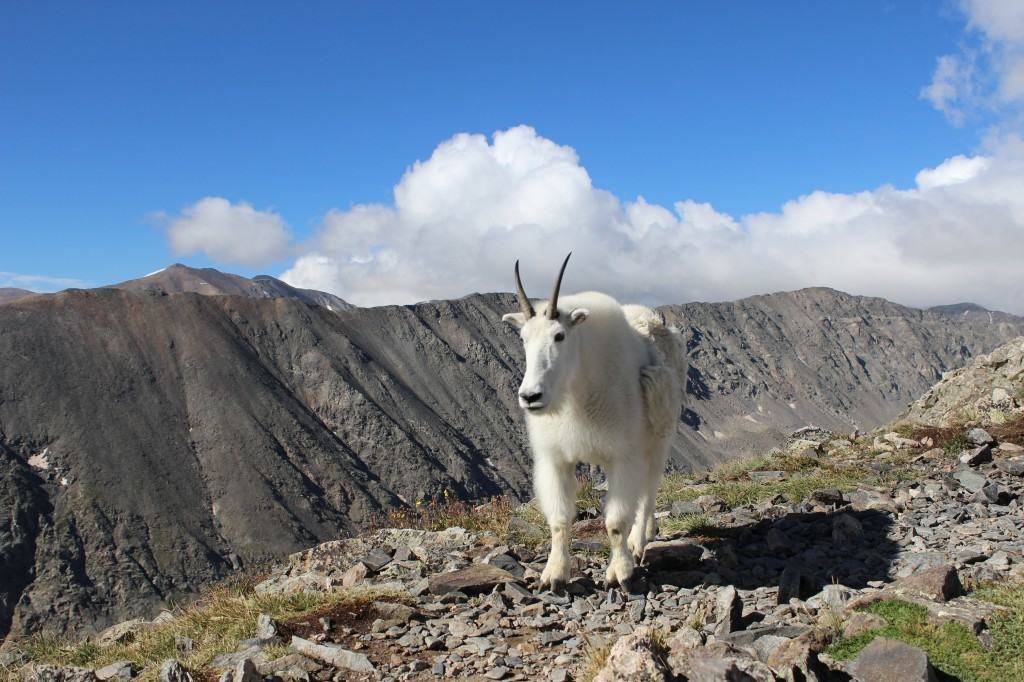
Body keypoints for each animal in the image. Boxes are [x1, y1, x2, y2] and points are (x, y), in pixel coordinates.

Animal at [499, 251, 684, 585]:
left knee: (648, 492)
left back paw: (640, 542)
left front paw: (620, 572)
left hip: (659, 438)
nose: (531, 396)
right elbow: (559, 520)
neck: (576, 392)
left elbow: (615, 522)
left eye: (559, 335)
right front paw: (554, 575)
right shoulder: (556, 459)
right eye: (523, 338)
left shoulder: (622, 456)